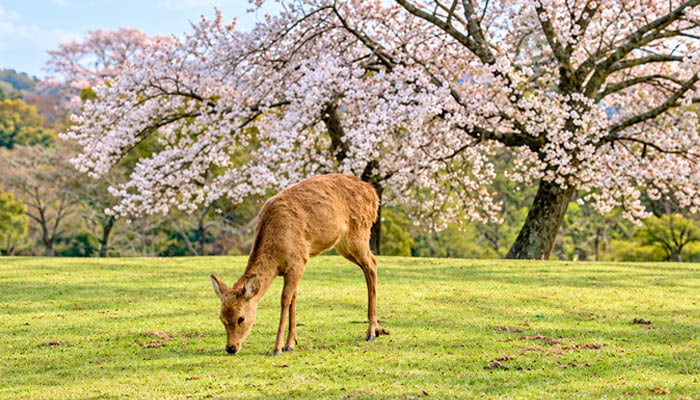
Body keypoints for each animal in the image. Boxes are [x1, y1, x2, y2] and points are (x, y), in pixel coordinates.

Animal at [209, 174, 389, 356]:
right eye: (221, 318)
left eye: (241, 318)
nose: (231, 348)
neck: (276, 257)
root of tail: (373, 193)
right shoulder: (294, 268)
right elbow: (293, 298)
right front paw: (291, 343)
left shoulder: (298, 261)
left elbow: (285, 300)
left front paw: (277, 348)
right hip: (343, 245)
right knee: (370, 264)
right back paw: (377, 329)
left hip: (359, 232)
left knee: (371, 264)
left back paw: (371, 332)